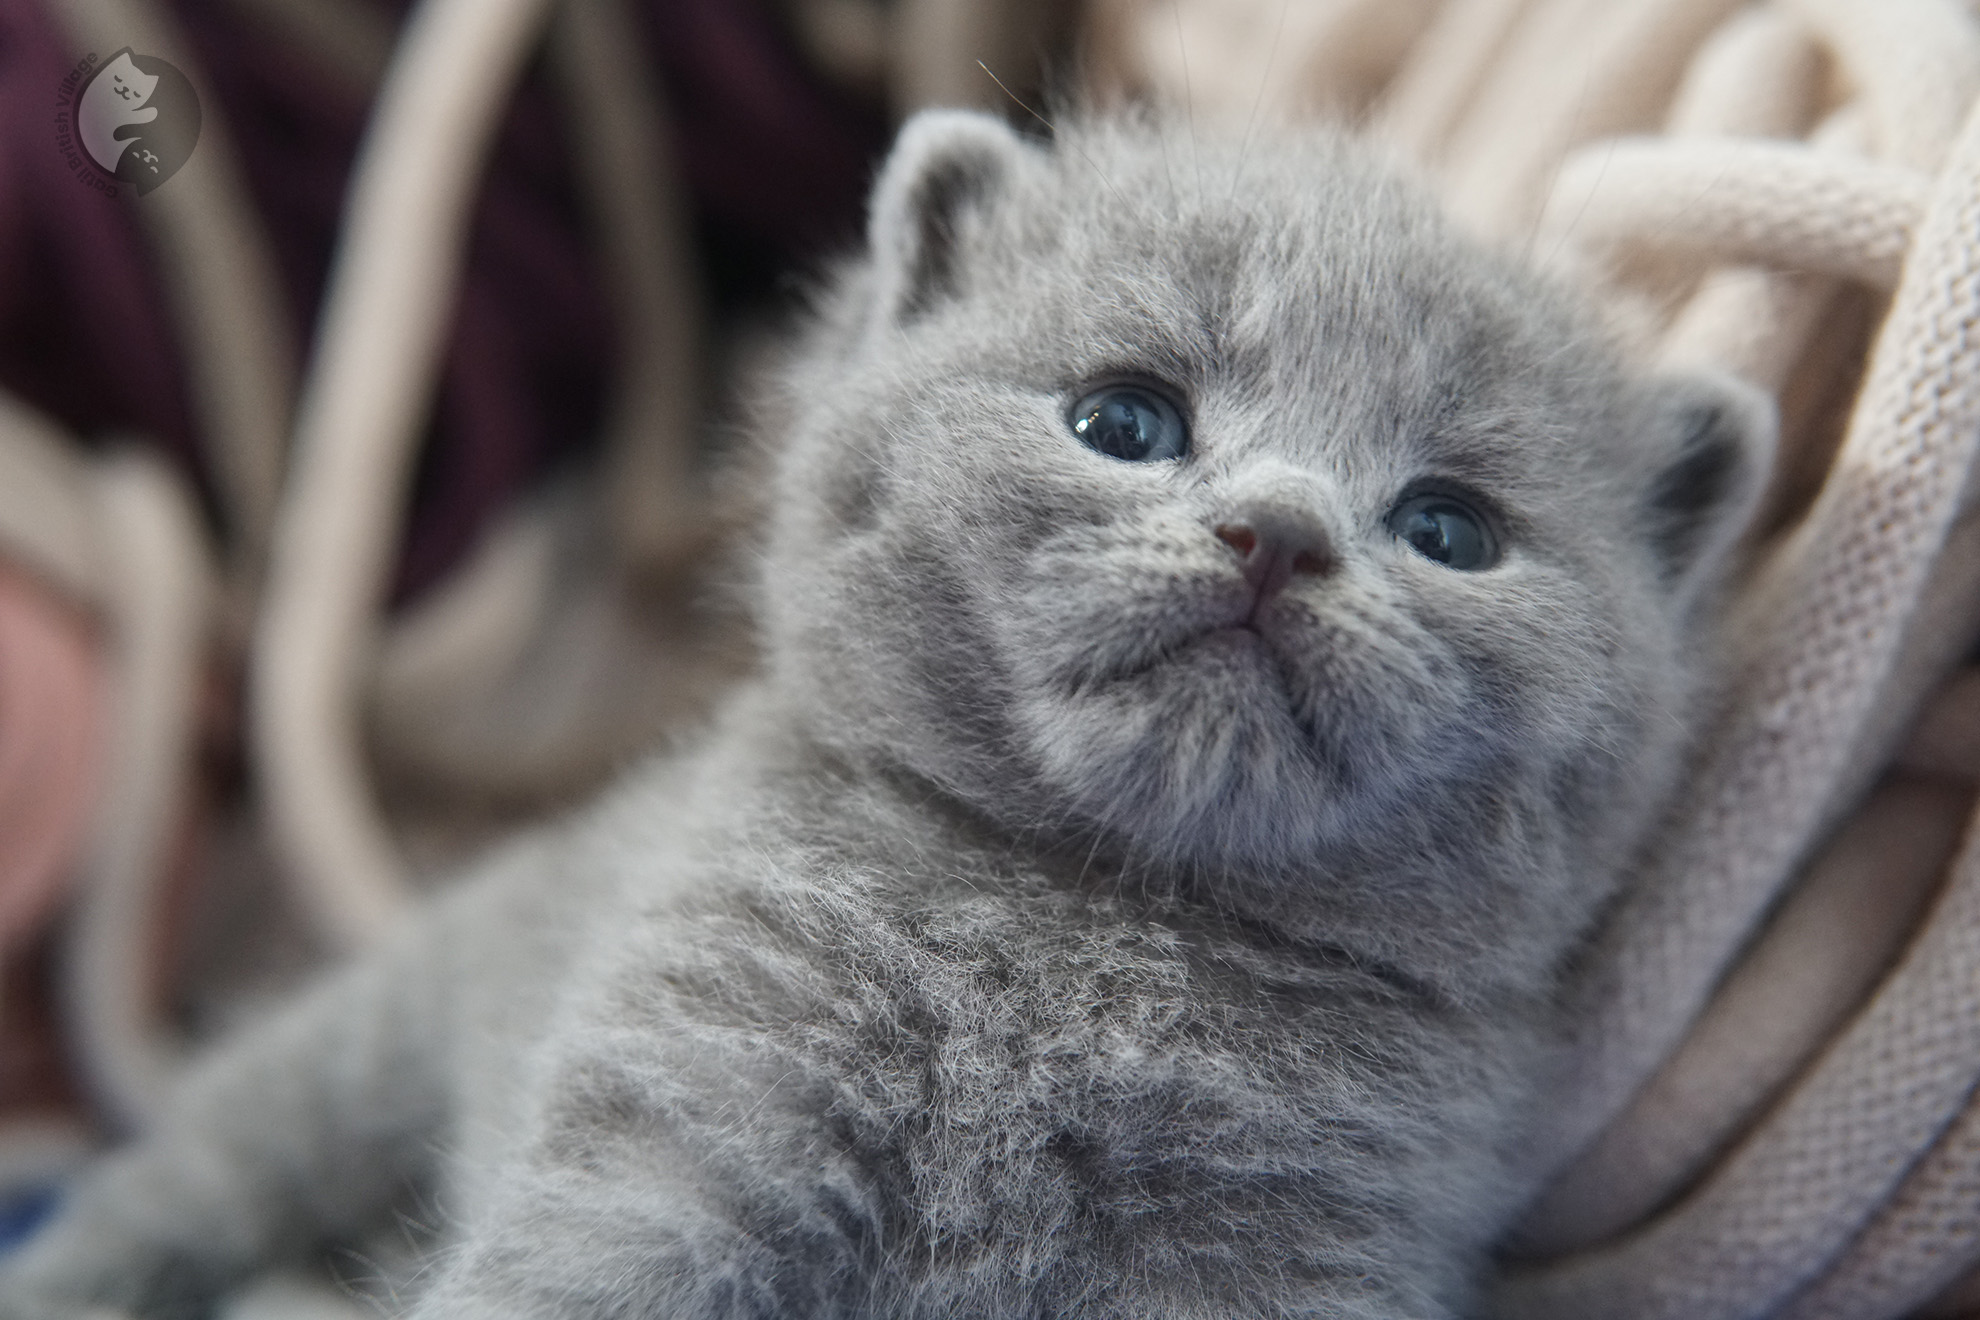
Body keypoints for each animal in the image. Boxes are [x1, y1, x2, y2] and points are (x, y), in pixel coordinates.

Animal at [0, 113, 1766, 1320]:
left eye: (1452, 529)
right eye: (1125, 421)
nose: (1276, 534)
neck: (1097, 926)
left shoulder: (1290, 1260)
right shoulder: (681, 1132)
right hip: (335, 1065)